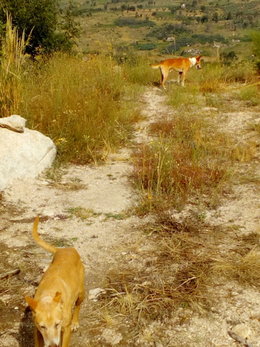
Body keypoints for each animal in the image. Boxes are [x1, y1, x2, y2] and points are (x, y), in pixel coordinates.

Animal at [25, 218, 85, 347]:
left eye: (57, 324)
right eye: (42, 327)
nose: (53, 345)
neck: (48, 295)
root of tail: (63, 249)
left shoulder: (65, 330)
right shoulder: (37, 331)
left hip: (81, 293)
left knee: (78, 306)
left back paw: (75, 322)